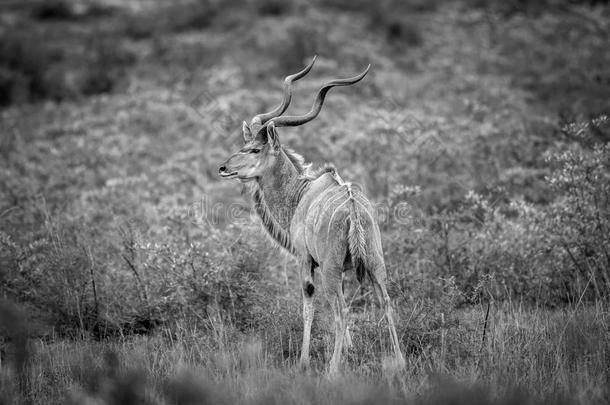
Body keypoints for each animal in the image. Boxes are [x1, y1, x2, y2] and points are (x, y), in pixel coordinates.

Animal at [218, 56, 404, 372]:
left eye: (254, 149)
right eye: (244, 145)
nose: (223, 167)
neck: (300, 194)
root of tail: (354, 209)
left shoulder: (305, 258)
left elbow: (308, 304)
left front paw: (303, 361)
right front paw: (350, 350)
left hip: (330, 268)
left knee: (341, 310)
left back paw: (332, 370)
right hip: (375, 262)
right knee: (386, 302)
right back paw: (400, 363)